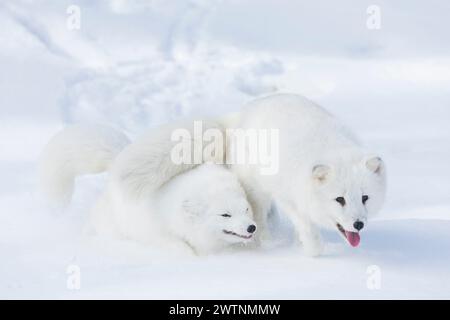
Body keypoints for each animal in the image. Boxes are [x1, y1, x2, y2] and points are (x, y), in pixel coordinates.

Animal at [39, 125, 256, 255]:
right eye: (225, 215)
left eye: (246, 209)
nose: (251, 227)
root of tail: (118, 161)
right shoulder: (158, 234)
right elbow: (181, 249)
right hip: (113, 224)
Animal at [103, 94, 386, 256]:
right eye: (340, 199)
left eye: (365, 198)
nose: (359, 224)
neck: (327, 148)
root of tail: (238, 117)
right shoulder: (290, 197)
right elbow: (307, 228)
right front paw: (312, 251)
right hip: (255, 189)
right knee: (258, 217)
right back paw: (263, 243)